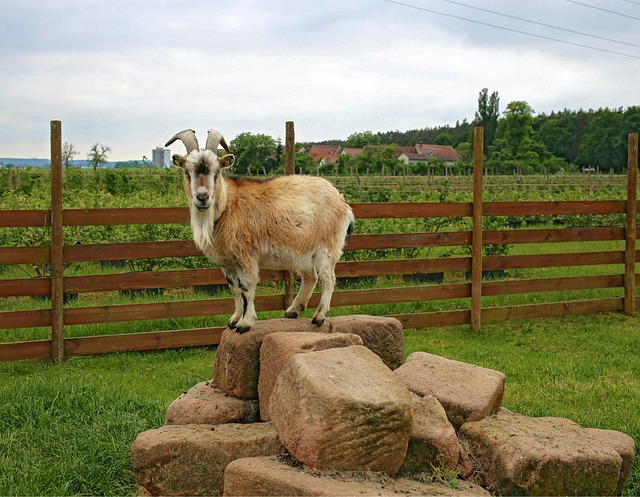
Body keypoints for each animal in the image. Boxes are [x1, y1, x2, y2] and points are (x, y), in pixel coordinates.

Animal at [165, 129, 356, 334]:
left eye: (217, 172)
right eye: (187, 172)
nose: (202, 197)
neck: (227, 206)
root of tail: (343, 203)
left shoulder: (246, 256)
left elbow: (246, 288)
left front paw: (245, 323)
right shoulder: (227, 262)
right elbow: (235, 290)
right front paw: (233, 320)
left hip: (327, 248)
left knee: (328, 279)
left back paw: (319, 316)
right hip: (304, 252)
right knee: (310, 277)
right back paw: (293, 310)